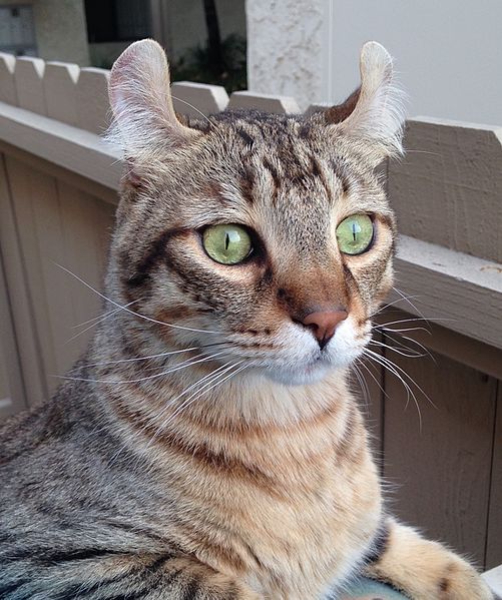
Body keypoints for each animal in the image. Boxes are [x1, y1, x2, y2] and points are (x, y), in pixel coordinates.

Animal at [0, 39, 494, 596]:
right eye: (228, 242)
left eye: (355, 232)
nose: (327, 318)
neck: (296, 438)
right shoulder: (49, 559)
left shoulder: (368, 529)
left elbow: (439, 563)